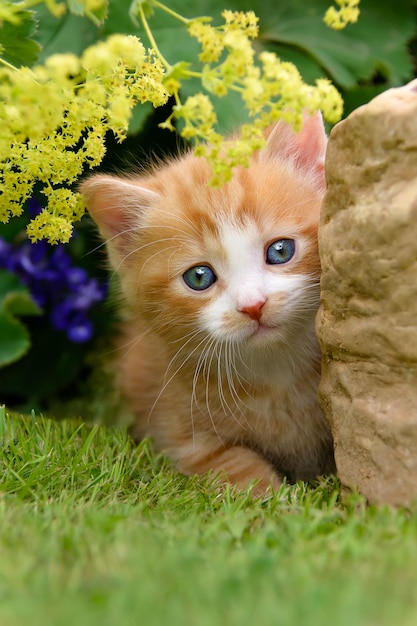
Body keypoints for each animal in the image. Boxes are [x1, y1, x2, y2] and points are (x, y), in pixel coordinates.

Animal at [81, 114, 334, 490]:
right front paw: (275, 497)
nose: (253, 306)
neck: (276, 372)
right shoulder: (182, 436)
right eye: (199, 277)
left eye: (280, 250)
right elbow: (236, 468)